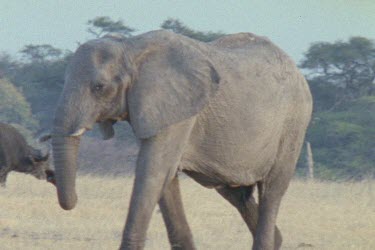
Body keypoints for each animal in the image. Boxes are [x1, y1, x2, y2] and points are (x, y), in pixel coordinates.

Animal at [50, 30, 314, 249]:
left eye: (99, 87)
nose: (73, 199)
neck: (131, 47)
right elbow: (166, 178)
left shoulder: (179, 110)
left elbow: (152, 172)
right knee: (236, 193)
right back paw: (277, 238)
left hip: (294, 123)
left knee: (272, 190)